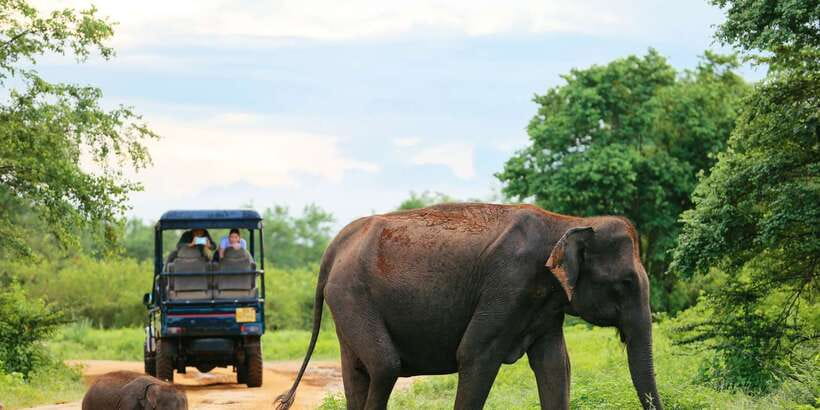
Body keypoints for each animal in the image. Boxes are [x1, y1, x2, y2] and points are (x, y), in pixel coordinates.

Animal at [275, 203, 662, 410]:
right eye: (626, 283)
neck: (568, 222)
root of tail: (336, 244)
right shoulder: (508, 283)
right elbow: (474, 354)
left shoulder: (545, 304)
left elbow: (556, 366)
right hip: (353, 295)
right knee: (384, 366)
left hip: (346, 300)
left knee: (358, 371)